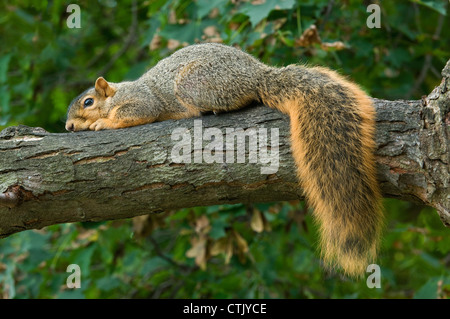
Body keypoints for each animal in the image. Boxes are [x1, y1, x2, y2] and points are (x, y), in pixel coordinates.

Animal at [66, 42, 384, 278]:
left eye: (88, 102)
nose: (68, 127)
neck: (117, 93)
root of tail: (257, 75)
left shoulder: (142, 101)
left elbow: (136, 113)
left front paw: (102, 124)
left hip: (196, 84)